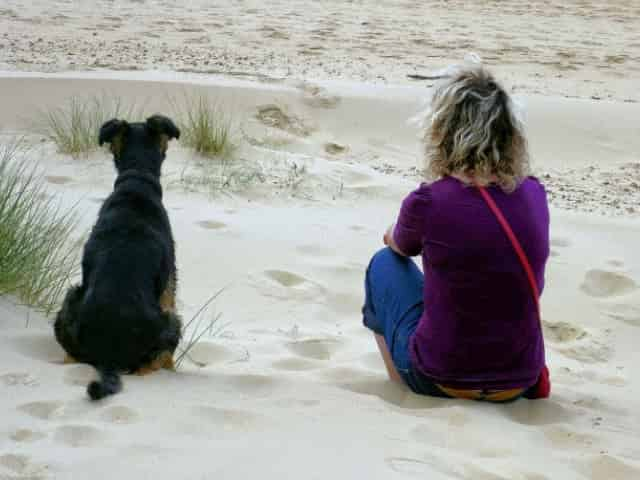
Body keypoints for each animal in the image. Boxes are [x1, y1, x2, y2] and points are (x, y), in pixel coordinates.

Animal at [53, 114, 184, 400]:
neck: (137, 179)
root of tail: (109, 355)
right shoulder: (169, 286)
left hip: (70, 300)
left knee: (70, 355)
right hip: (171, 322)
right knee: (153, 363)